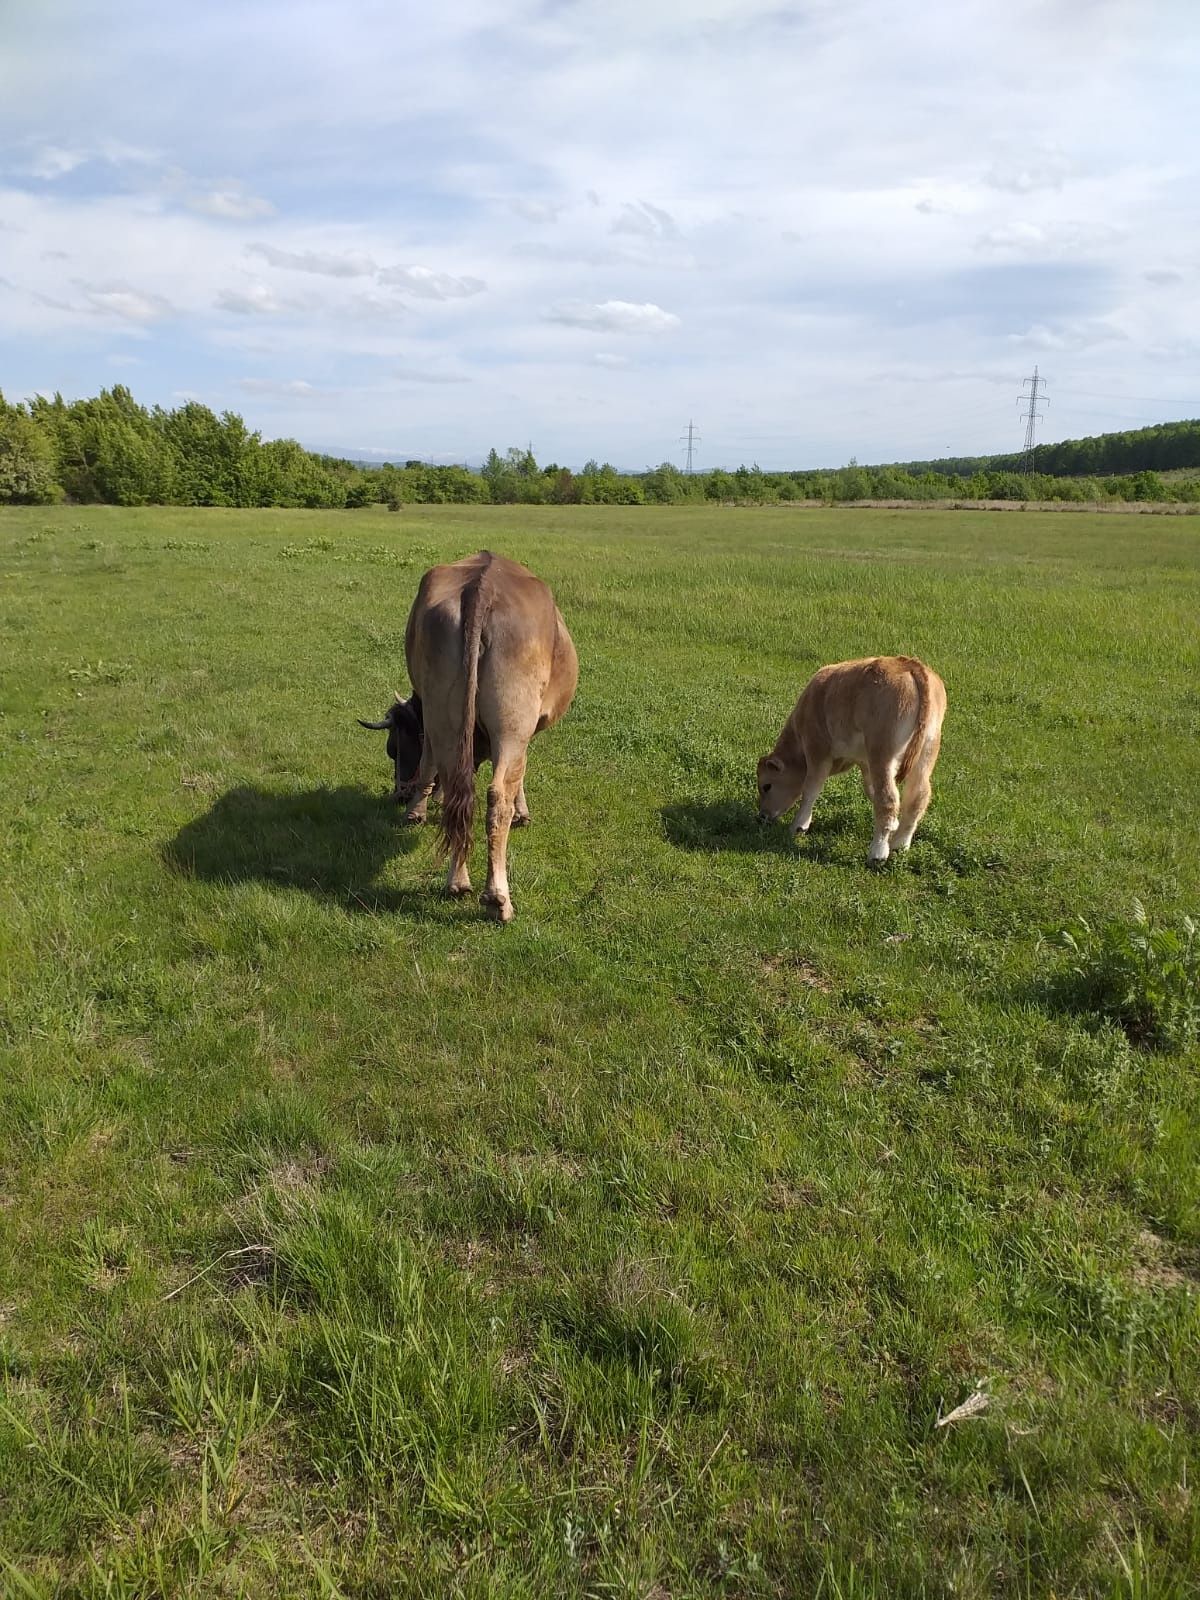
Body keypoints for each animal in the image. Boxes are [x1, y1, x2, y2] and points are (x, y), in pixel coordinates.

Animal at [356, 553, 579, 921]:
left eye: (394, 748)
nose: (400, 795)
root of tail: (483, 585)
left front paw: (417, 810)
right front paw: (522, 813)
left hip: (446, 712)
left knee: (459, 790)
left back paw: (457, 881)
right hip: (513, 722)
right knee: (496, 795)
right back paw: (498, 898)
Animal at [761, 656, 947, 870]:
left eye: (766, 786)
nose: (762, 816)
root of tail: (910, 665)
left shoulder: (818, 749)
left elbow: (811, 789)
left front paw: (799, 825)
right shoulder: (865, 763)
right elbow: (870, 791)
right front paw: (893, 826)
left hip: (882, 753)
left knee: (888, 799)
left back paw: (877, 853)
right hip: (926, 754)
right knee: (917, 797)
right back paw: (899, 844)